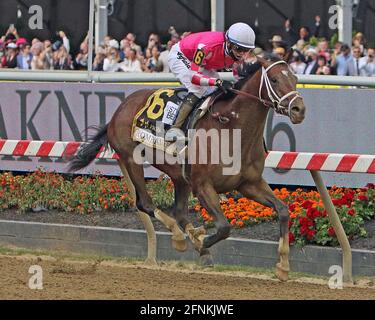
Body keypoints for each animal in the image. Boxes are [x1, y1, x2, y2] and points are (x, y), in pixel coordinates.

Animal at [69, 56, 306, 282]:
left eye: (295, 78)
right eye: (274, 80)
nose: (299, 109)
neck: (231, 128)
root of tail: (118, 110)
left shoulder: (249, 184)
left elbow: (283, 210)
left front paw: (283, 266)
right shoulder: (202, 186)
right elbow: (224, 227)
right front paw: (202, 241)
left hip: (180, 176)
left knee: (180, 212)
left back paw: (193, 241)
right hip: (130, 159)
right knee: (145, 203)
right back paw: (180, 237)